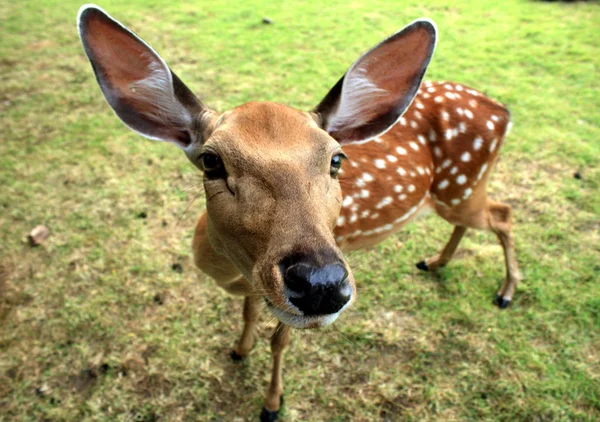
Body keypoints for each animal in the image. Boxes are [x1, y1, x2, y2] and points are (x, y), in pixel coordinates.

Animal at [78, 4, 520, 422]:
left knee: (504, 212)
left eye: (337, 159)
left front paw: (272, 403)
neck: (229, 270)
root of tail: (504, 112)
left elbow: (280, 340)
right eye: (211, 161)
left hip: (462, 187)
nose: (321, 284)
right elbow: (248, 313)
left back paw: (505, 293)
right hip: (459, 192)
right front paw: (239, 349)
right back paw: (436, 261)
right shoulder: (256, 282)